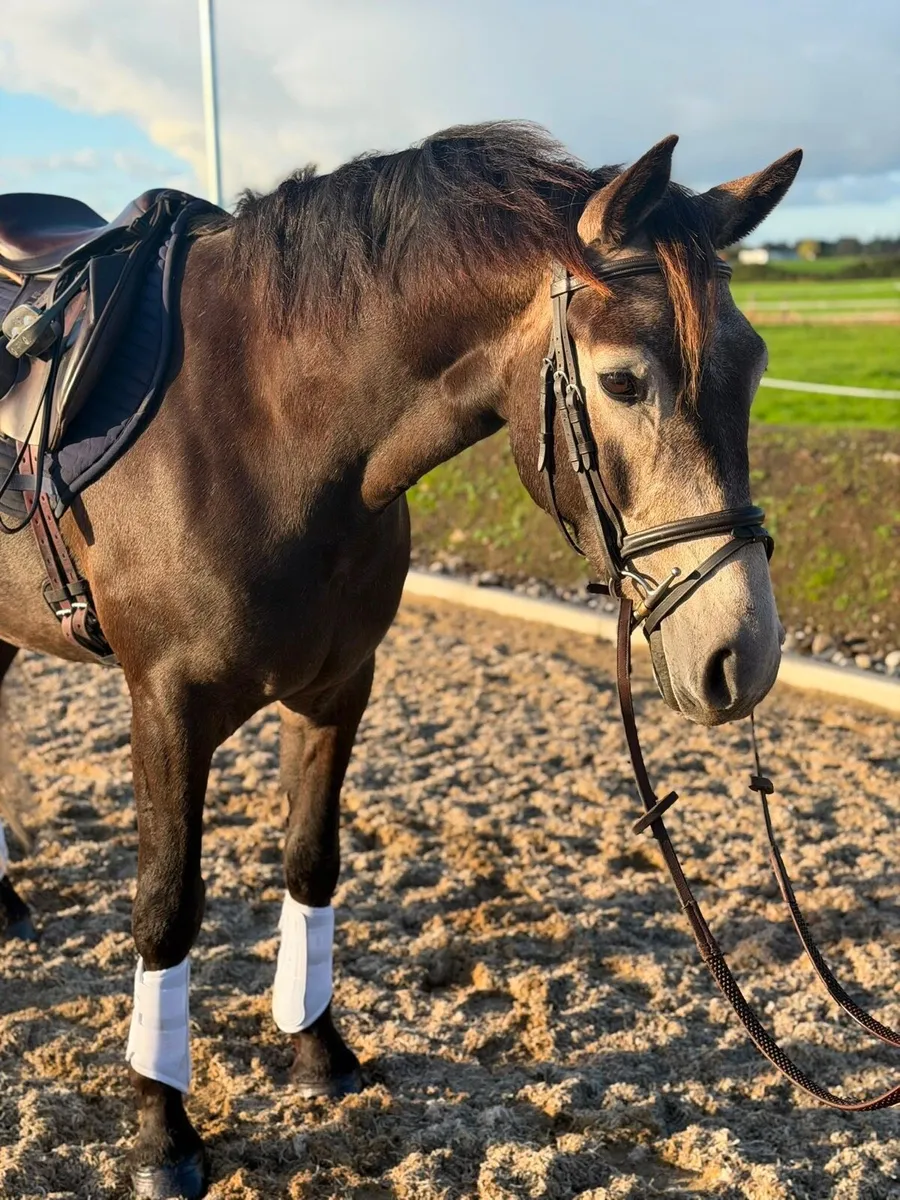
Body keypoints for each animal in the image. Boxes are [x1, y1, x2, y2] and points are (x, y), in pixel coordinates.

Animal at [0, 121, 800, 1197]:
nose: (741, 654)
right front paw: (162, 1131)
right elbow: (165, 907)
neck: (269, 425)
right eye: (625, 380)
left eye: (754, 370)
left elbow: (311, 863)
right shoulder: (165, 707)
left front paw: (316, 1050)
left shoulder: (338, 689)